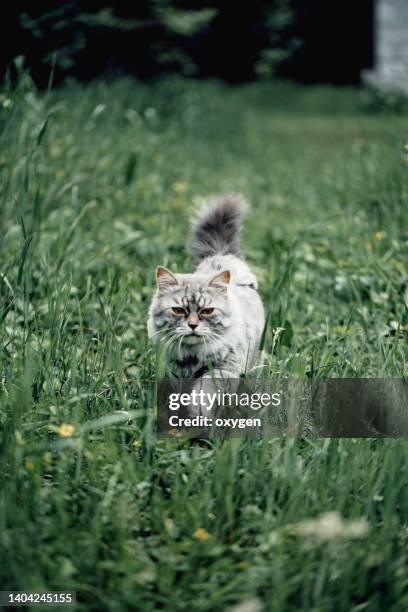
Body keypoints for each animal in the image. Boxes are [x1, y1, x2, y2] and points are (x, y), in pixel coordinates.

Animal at [148, 194, 266, 384]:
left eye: (207, 311)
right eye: (178, 310)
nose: (193, 325)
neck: (192, 357)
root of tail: (221, 255)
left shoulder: (222, 369)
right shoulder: (174, 371)